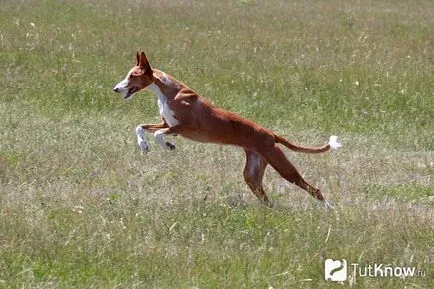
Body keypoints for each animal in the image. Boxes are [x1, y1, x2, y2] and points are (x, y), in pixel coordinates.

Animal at [112, 51, 342, 207]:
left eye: (132, 76)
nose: (115, 88)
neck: (169, 91)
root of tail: (270, 134)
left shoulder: (186, 127)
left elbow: (159, 134)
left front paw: (167, 145)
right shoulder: (169, 125)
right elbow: (140, 127)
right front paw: (144, 145)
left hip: (283, 167)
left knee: (314, 189)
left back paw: (330, 210)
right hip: (252, 174)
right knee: (266, 199)